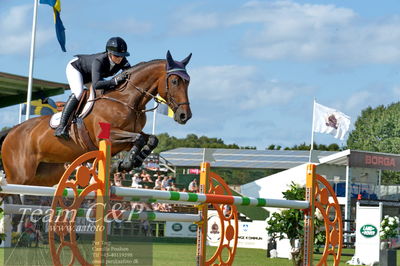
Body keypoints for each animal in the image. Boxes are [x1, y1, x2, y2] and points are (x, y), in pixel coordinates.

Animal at [0, 51, 192, 186]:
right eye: (174, 81)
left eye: (188, 82)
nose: (185, 116)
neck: (128, 100)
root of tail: (11, 131)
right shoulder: (108, 136)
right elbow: (138, 138)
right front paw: (125, 163)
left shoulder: (126, 137)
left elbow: (150, 139)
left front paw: (130, 161)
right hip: (19, 176)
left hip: (42, 176)